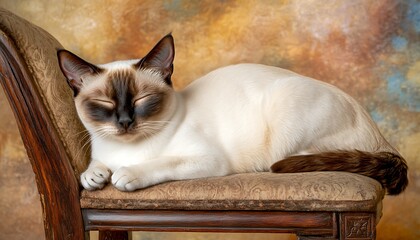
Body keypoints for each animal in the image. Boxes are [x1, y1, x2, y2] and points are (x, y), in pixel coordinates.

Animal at [56, 34, 406, 195]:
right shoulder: (102, 152)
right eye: (105, 104)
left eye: (142, 99)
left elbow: (158, 164)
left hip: (286, 111)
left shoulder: (204, 159)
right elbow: (93, 168)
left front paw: (123, 175)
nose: (126, 122)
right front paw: (94, 177)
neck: (126, 149)